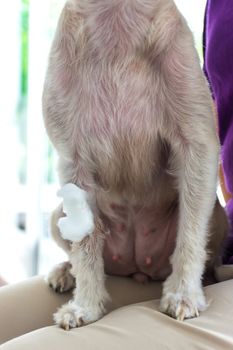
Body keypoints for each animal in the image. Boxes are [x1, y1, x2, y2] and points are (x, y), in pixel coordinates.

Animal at [42, 0, 228, 330]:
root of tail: (138, 268)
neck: (118, 20)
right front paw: (86, 305)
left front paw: (183, 294)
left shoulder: (198, 143)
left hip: (219, 217)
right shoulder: (73, 158)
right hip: (56, 216)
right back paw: (65, 271)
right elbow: (85, 245)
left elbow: (191, 232)